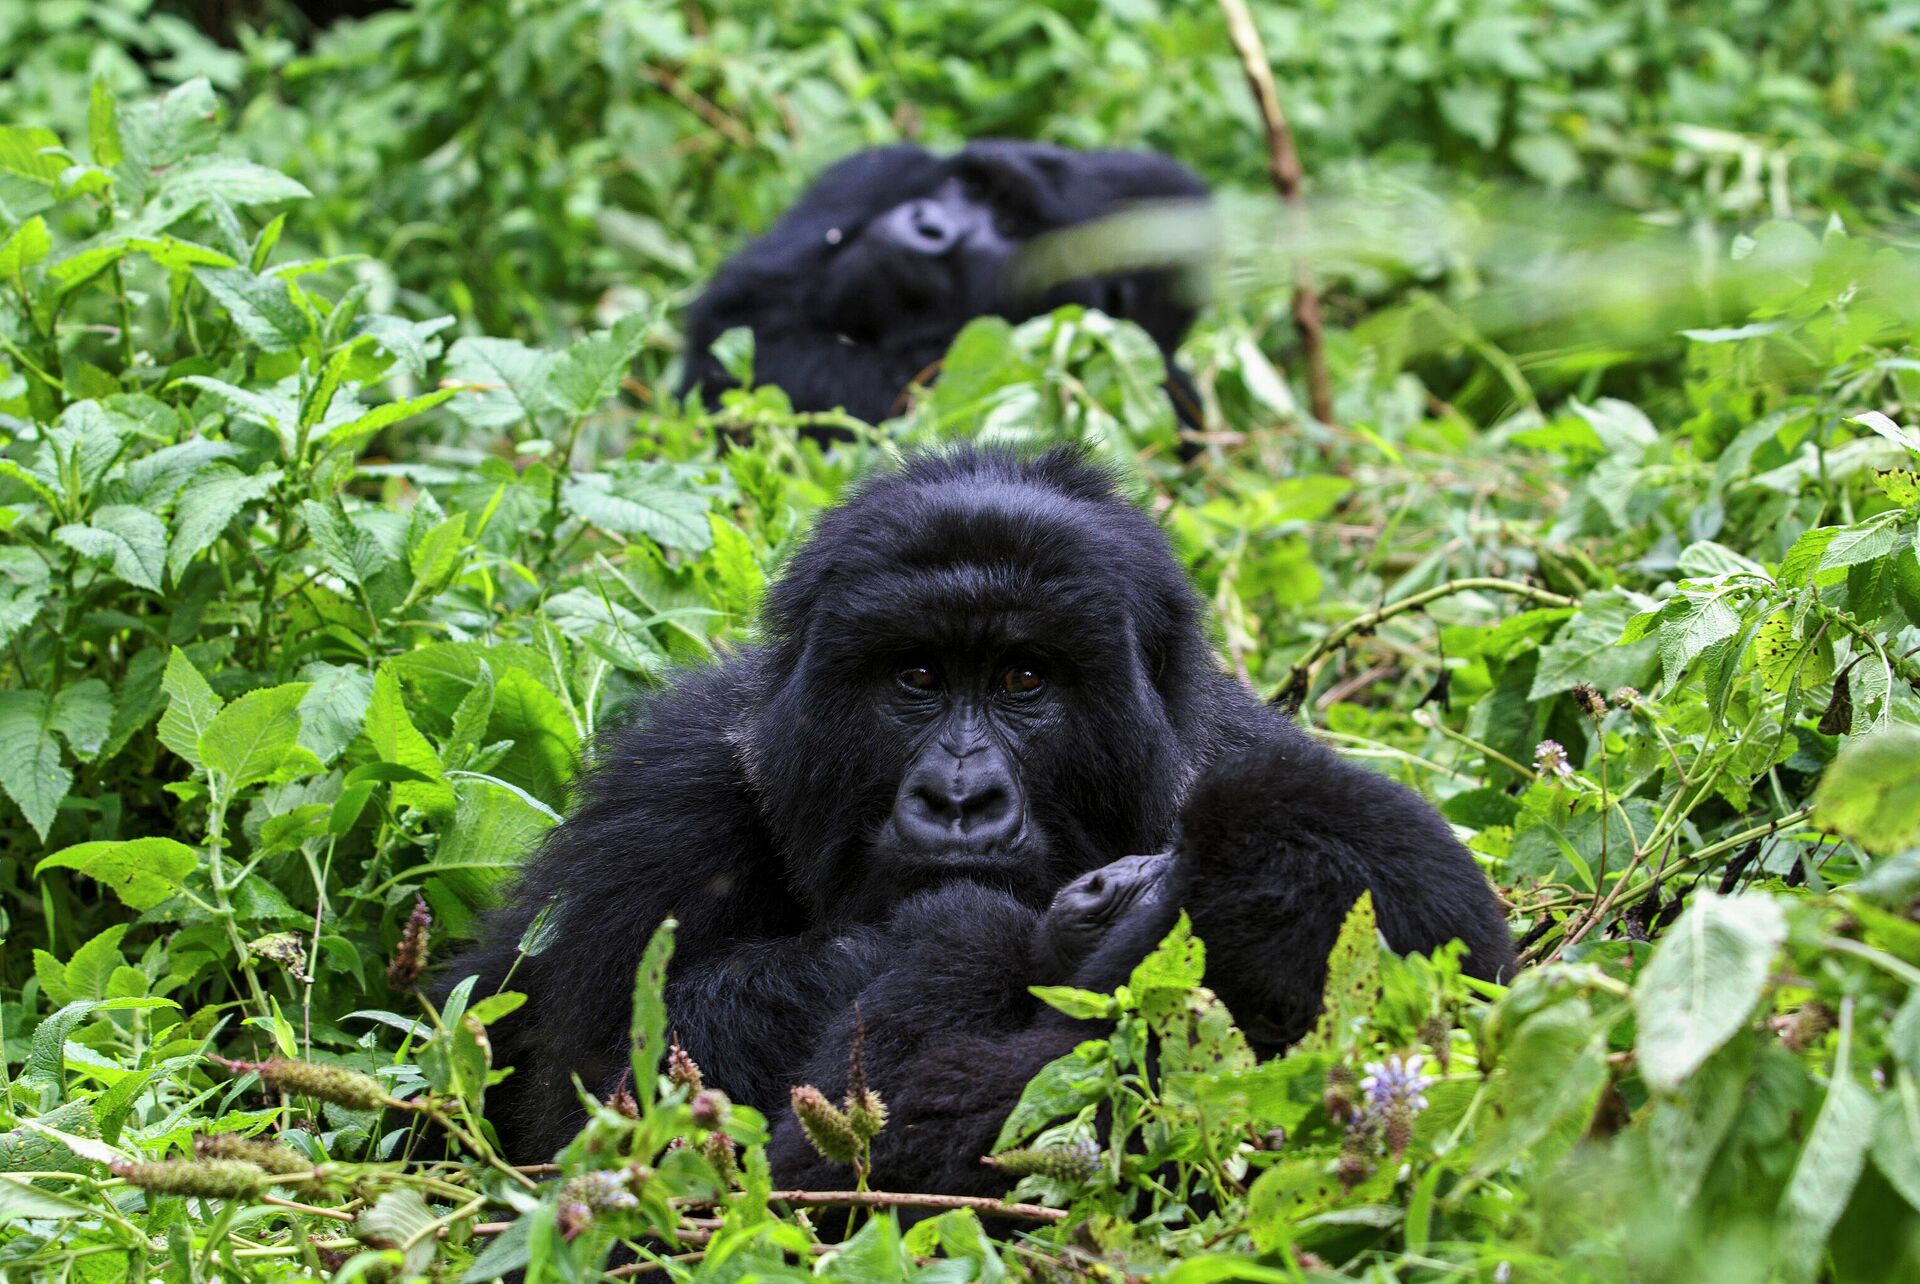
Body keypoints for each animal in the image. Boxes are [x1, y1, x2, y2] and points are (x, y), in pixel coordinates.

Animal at [679, 142, 1213, 426]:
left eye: (1010, 226)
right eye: (969, 186)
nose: (928, 224)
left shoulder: (1173, 395)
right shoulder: (875, 170)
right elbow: (744, 316)